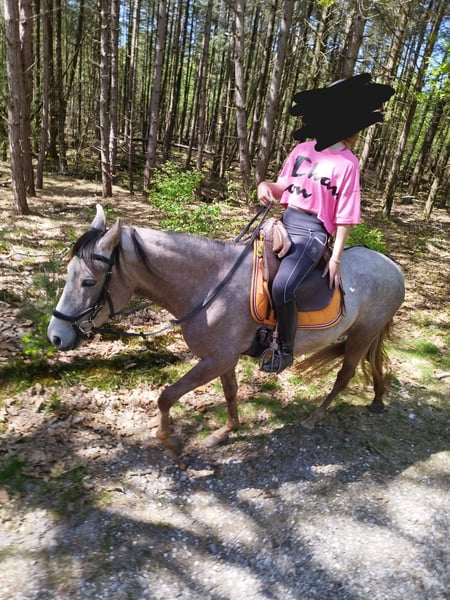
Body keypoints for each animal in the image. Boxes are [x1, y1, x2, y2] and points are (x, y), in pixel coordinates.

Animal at [48, 204, 405, 454]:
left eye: (88, 281)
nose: (56, 335)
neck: (209, 285)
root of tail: (394, 268)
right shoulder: (223, 358)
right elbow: (230, 392)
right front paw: (227, 430)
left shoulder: (215, 359)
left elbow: (166, 396)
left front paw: (169, 440)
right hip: (367, 334)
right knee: (374, 363)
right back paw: (378, 397)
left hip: (361, 334)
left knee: (345, 375)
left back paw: (315, 417)